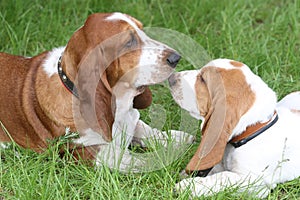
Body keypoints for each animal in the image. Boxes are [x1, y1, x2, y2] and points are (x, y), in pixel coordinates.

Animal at [0, 12, 192, 172]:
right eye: (129, 42)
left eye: (142, 30)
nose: (176, 58)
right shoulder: (82, 151)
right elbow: (132, 159)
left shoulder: (130, 118)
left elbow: (145, 129)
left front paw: (177, 138)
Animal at [170, 58, 298, 198]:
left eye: (203, 79)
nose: (171, 77)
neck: (254, 129)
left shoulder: (255, 182)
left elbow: (222, 177)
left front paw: (186, 186)